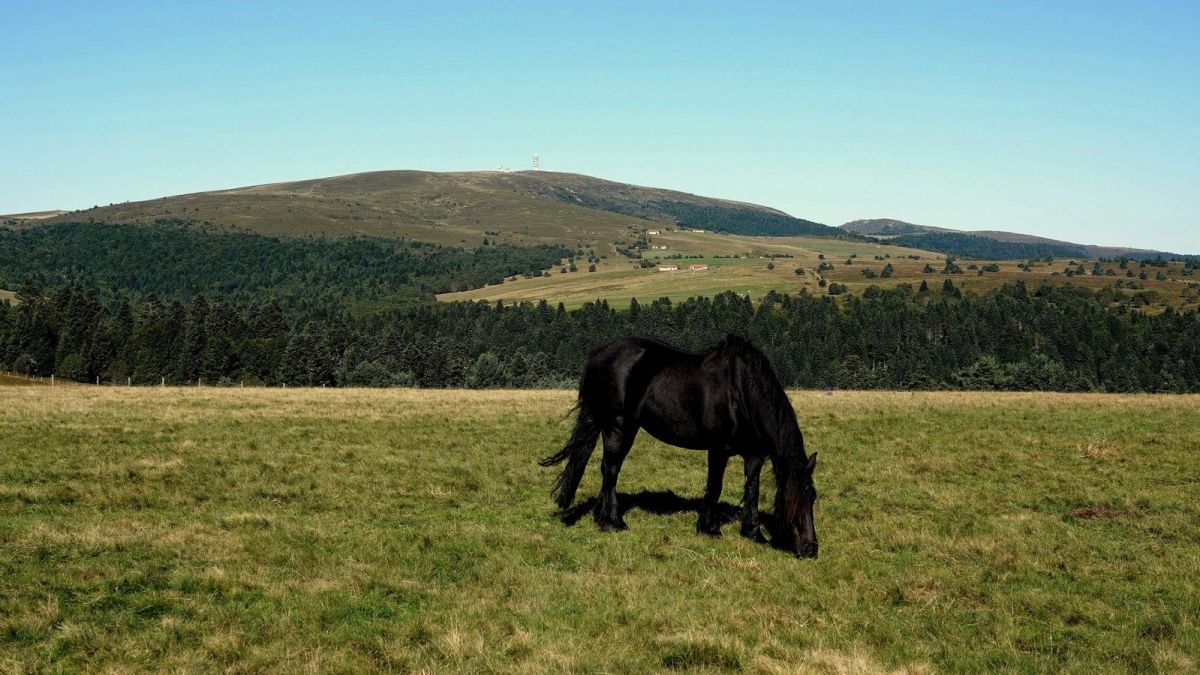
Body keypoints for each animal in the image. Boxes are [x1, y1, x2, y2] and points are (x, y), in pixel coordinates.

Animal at [542, 333, 816, 554]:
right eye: (794, 500)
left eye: (812, 498)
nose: (811, 548)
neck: (742, 393)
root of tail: (600, 353)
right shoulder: (719, 449)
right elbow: (714, 486)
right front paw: (709, 528)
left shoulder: (754, 455)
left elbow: (752, 489)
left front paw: (752, 532)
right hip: (618, 424)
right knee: (610, 469)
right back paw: (614, 522)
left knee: (610, 469)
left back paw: (602, 517)